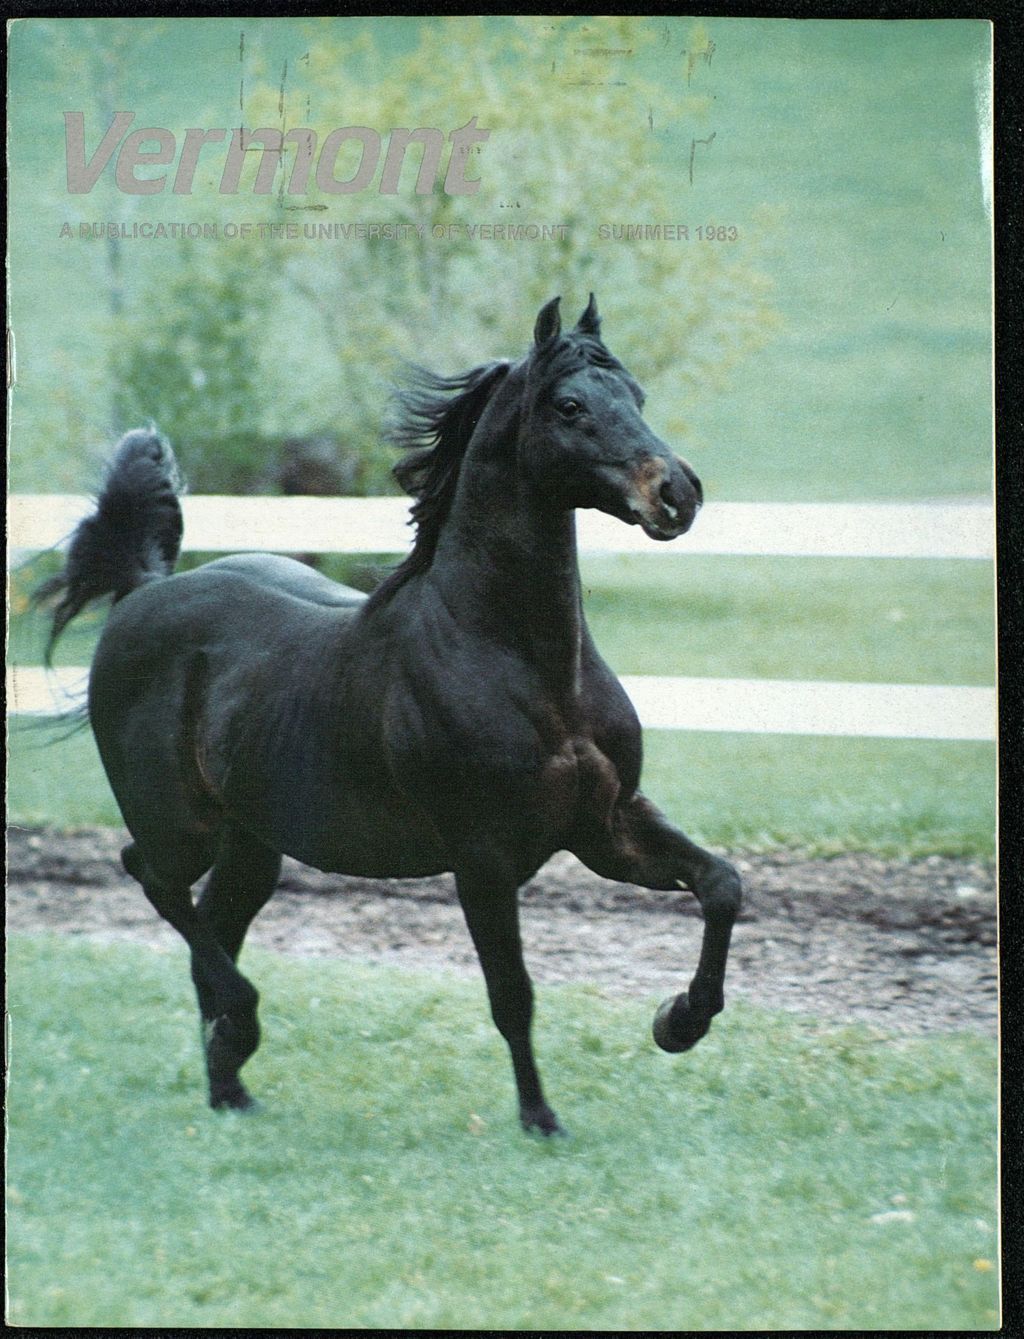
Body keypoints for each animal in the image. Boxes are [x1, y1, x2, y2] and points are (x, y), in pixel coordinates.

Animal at [39, 298, 738, 1135]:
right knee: (151, 878)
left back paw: (230, 1083)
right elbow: (513, 993)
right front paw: (541, 1118)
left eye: (636, 394)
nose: (677, 492)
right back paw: (242, 1028)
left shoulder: (605, 826)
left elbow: (722, 883)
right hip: (180, 823)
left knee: (213, 922)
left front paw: (679, 1021)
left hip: (254, 839)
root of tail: (142, 591)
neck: (522, 664)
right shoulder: (482, 855)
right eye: (570, 406)